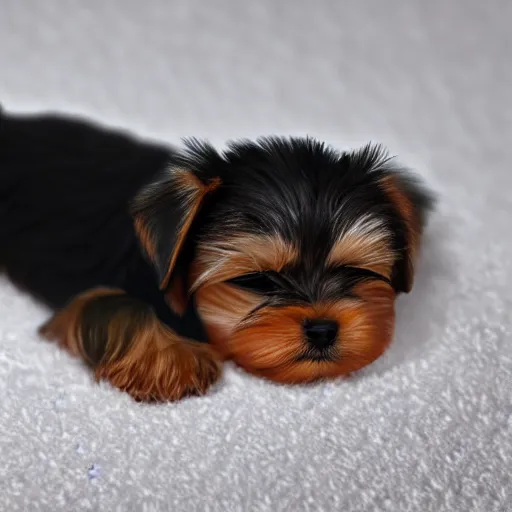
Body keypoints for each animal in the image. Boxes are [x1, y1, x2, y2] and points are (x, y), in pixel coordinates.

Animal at [0, 108, 432, 402]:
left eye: (355, 270)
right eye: (256, 280)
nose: (323, 329)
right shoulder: (98, 286)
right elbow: (117, 306)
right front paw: (170, 359)